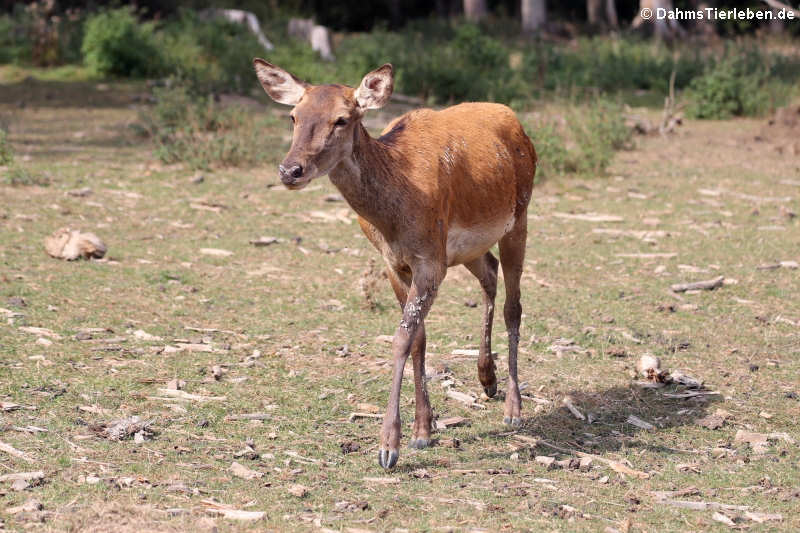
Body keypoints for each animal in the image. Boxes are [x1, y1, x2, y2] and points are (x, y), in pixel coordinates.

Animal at [253, 59, 536, 466]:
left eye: (342, 119)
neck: (393, 214)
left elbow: (402, 338)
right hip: (467, 247)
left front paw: (389, 446)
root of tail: (517, 123)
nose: (290, 170)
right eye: (293, 116)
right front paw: (423, 430)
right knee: (489, 271)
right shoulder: (394, 262)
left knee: (514, 305)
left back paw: (514, 408)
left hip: (520, 214)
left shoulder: (430, 260)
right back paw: (487, 379)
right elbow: (418, 337)